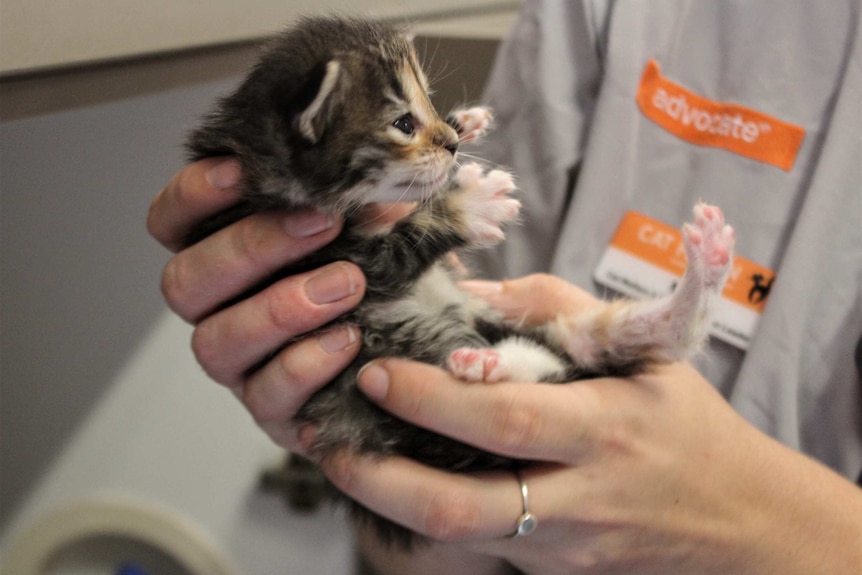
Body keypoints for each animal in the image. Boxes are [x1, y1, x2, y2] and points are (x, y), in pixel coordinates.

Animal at [186, 15, 740, 548]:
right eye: (403, 124)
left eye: (427, 104)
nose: (451, 145)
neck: (262, 165)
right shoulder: (331, 264)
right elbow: (396, 250)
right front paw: (468, 206)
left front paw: (465, 123)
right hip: (426, 422)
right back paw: (489, 366)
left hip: (557, 340)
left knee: (636, 335)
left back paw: (707, 261)